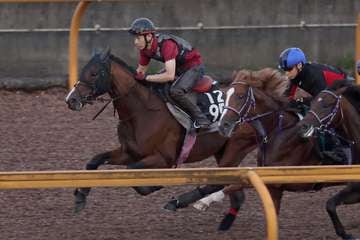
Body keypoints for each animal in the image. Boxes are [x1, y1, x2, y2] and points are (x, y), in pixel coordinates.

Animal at [64, 49, 258, 218]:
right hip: (221, 152)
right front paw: (80, 196)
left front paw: (155, 186)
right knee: (232, 189)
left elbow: (133, 174)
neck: (142, 112)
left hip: (236, 148)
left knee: (221, 182)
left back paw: (179, 202)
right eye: (84, 70)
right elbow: (94, 160)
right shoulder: (129, 152)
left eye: (94, 73)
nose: (71, 100)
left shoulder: (164, 159)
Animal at [202, 72, 360, 238]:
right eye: (226, 96)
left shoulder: (285, 179)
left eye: (240, 96)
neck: (278, 134)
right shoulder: (271, 183)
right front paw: (206, 200)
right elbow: (237, 185)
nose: (223, 125)